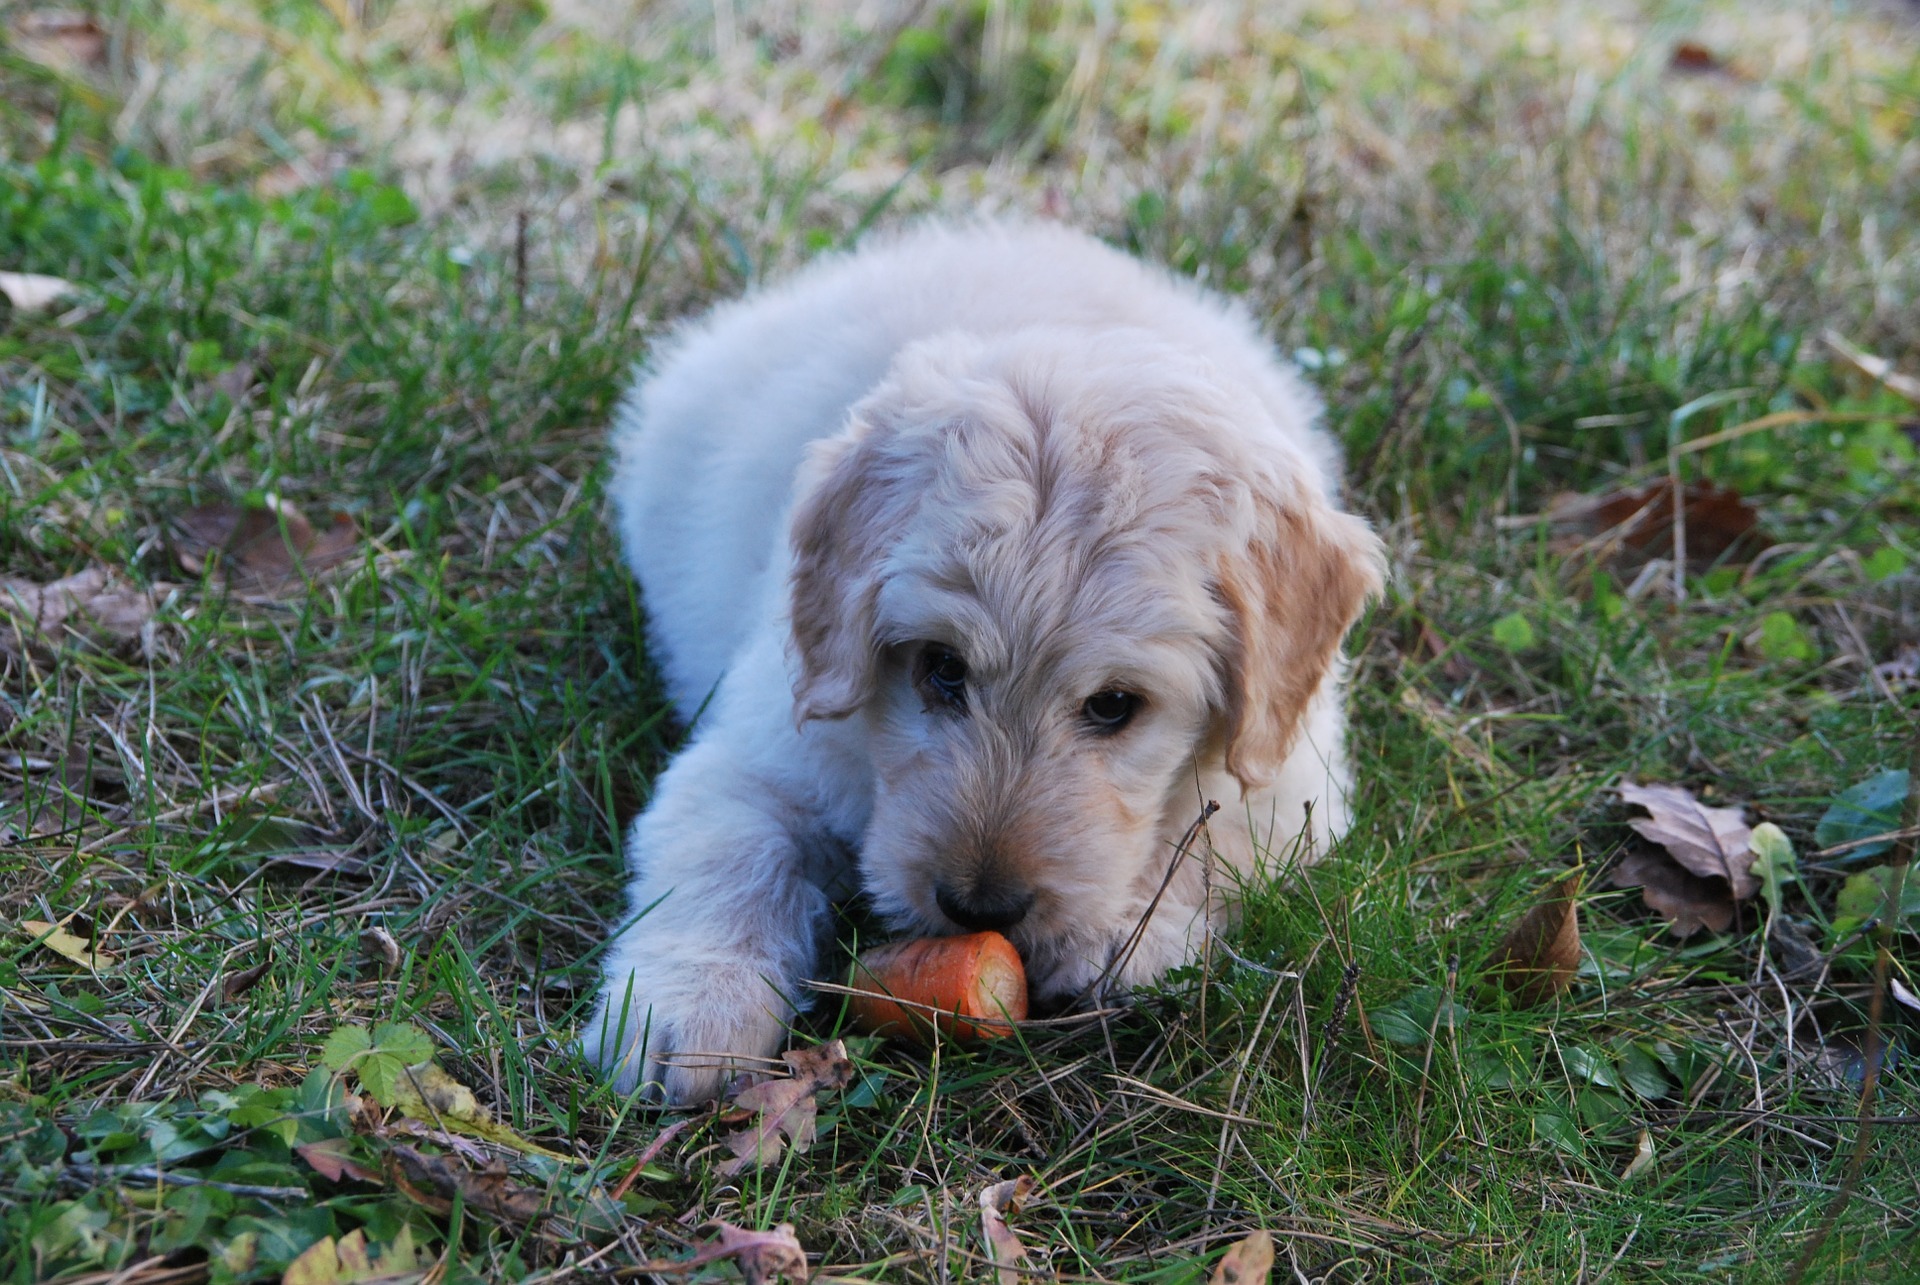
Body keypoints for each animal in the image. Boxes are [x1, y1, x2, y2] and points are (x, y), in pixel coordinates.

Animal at [583, 220, 1382, 1106]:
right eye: (941, 666)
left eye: (1115, 705)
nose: (979, 908)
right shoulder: (762, 746)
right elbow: (727, 854)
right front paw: (688, 1009)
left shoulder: (1293, 778)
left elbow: (1211, 840)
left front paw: (1122, 933)